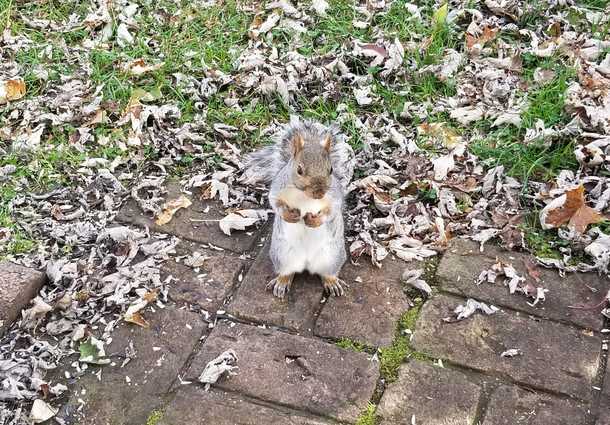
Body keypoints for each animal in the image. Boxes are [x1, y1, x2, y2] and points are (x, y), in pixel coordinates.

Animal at [243, 117, 354, 298]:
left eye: (331, 170)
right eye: (299, 170)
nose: (319, 193)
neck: (303, 194)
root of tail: (306, 262)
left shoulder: (334, 196)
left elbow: (332, 210)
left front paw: (314, 221)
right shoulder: (277, 189)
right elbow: (275, 203)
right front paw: (290, 216)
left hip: (332, 256)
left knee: (327, 273)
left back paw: (332, 282)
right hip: (282, 254)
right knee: (287, 272)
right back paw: (282, 282)